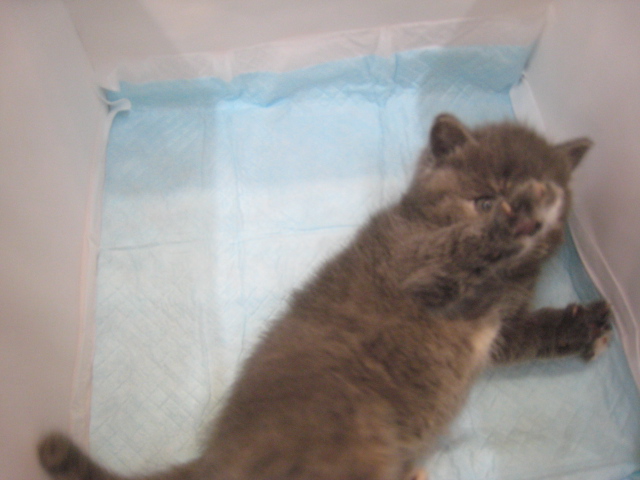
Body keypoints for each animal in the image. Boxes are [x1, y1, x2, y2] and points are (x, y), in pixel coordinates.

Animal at [38, 113, 612, 480]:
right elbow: (465, 246)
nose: (529, 217)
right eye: (486, 200)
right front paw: (523, 212)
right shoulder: (418, 272)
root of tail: (215, 459)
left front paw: (585, 323)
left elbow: (531, 333)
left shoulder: (499, 324)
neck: (504, 283)